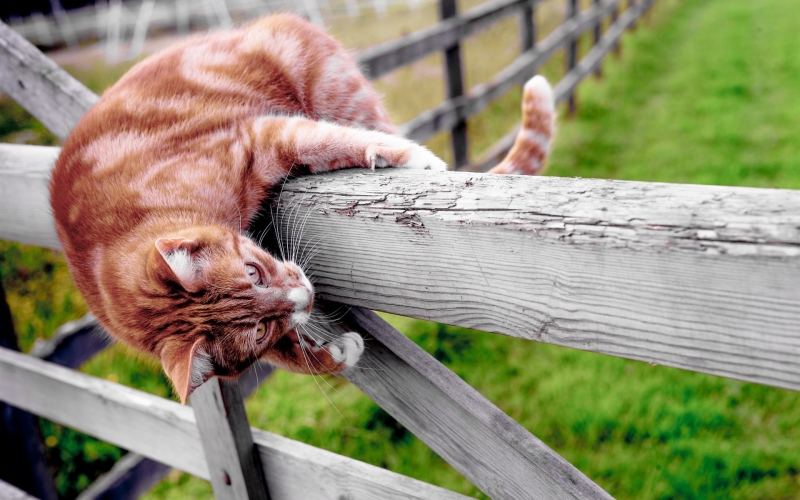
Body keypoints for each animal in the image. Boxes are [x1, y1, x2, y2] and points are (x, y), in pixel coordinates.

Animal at [48, 13, 552, 402]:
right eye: (257, 331)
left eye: (253, 271)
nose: (304, 297)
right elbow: (289, 357)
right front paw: (332, 356)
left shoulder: (260, 135)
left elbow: (331, 140)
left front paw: (413, 157)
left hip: (323, 77)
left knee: (364, 124)